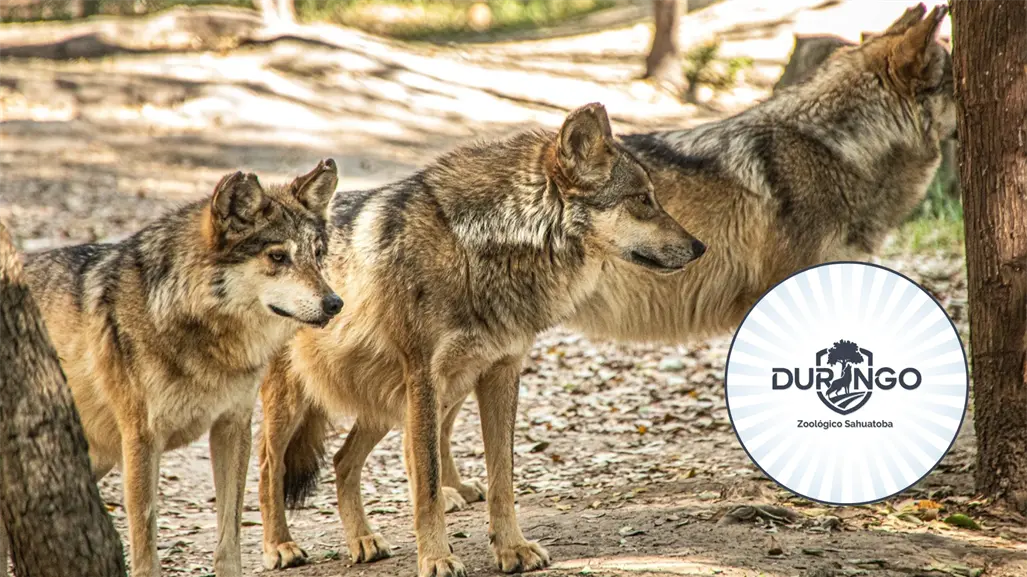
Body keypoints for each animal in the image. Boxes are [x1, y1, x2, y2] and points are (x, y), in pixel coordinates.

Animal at [1, 160, 343, 577]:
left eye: (317, 253)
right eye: (278, 257)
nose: (335, 303)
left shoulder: (231, 427)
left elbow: (229, 535)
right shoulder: (142, 441)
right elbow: (145, 541)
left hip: (91, 459)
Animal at [256, 103, 706, 576]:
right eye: (642, 200)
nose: (700, 247)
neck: (477, 246)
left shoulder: (501, 373)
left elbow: (502, 478)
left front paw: (512, 548)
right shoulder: (424, 377)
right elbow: (428, 485)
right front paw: (437, 557)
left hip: (397, 402)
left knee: (343, 461)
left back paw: (363, 540)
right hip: (302, 403)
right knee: (269, 467)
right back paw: (280, 546)